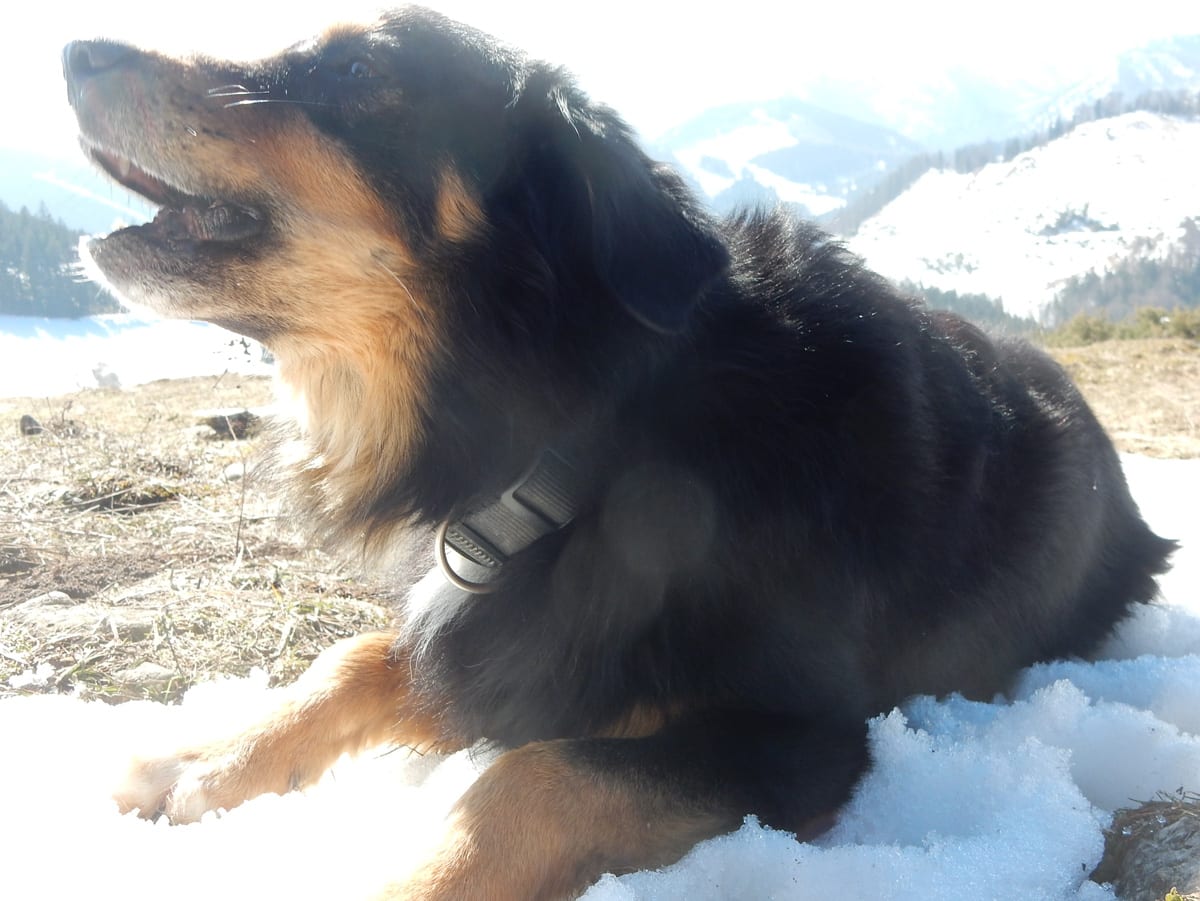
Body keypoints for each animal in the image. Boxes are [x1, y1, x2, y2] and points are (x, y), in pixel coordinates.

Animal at [63, 8, 1175, 898]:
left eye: (349, 69)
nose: (73, 49)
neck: (595, 434)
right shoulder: (502, 634)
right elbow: (356, 657)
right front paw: (207, 760)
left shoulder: (801, 737)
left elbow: (540, 772)